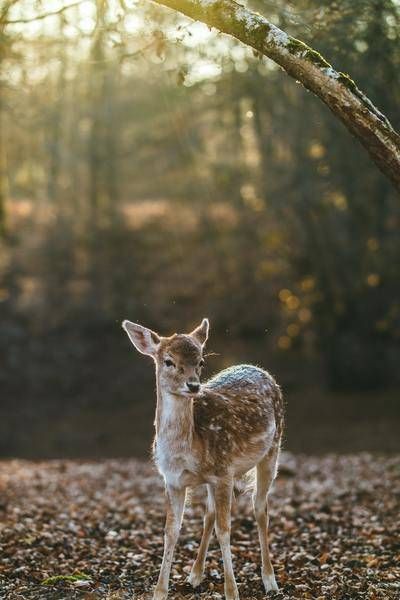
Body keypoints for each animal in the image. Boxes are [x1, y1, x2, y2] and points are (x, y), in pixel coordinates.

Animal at [121, 316, 282, 596]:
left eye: (201, 361)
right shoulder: (172, 480)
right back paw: (195, 575)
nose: (194, 385)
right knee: (209, 514)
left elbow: (225, 530)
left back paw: (270, 580)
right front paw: (160, 592)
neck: (185, 451)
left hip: (273, 448)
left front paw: (232, 592)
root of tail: (259, 369)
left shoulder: (225, 471)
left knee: (260, 508)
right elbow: (171, 531)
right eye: (168, 361)